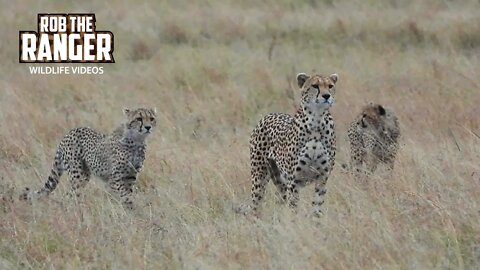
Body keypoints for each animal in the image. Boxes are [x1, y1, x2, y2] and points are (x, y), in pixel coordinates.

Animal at [21, 107, 157, 209]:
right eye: (139, 119)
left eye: (151, 119)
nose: (148, 127)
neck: (136, 140)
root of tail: (69, 132)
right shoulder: (115, 178)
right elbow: (125, 196)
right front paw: (132, 209)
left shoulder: (130, 176)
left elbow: (127, 194)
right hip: (79, 175)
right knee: (70, 195)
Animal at [249, 73, 340, 216]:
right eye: (315, 85)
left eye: (330, 86)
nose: (326, 96)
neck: (317, 121)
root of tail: (270, 114)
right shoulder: (294, 180)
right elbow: (293, 207)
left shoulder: (322, 178)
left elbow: (317, 206)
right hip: (259, 176)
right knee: (256, 204)